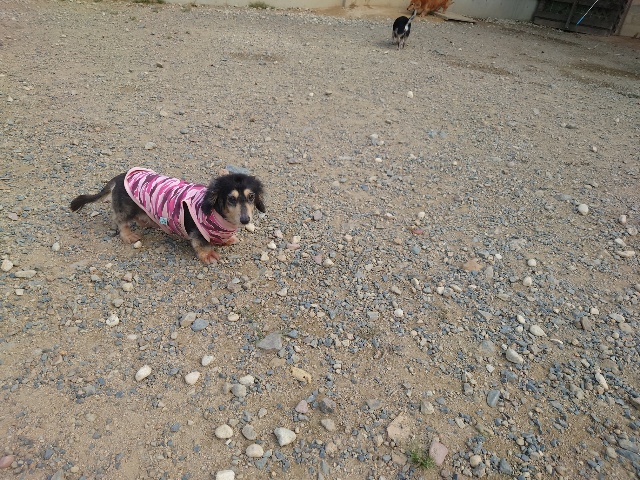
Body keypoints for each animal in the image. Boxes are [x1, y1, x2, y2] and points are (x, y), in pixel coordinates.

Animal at [70, 168, 265, 264]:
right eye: (231, 199)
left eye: (251, 196)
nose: (245, 220)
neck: (220, 217)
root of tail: (119, 177)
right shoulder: (197, 231)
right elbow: (202, 244)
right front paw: (208, 254)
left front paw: (227, 239)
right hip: (127, 208)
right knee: (120, 220)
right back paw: (127, 234)